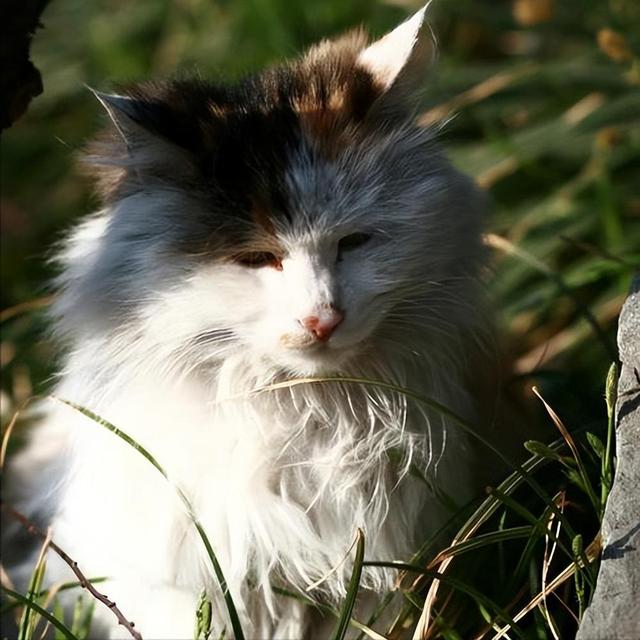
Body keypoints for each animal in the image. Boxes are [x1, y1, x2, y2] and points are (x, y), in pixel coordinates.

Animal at [5, 5, 504, 640]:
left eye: (354, 243)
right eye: (257, 258)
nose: (322, 318)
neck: (309, 420)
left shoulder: (386, 569)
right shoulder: (186, 580)